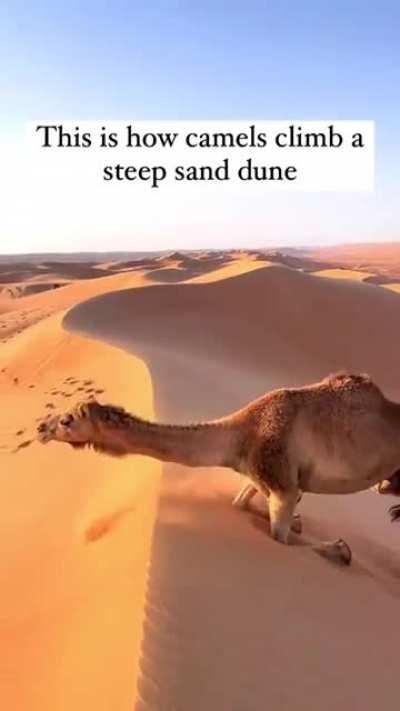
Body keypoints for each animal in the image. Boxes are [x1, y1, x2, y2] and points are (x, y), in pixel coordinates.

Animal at [37, 372, 400, 565]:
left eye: (67, 420)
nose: (41, 428)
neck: (240, 434)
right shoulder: (258, 477)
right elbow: (240, 504)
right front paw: (306, 526)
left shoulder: (282, 484)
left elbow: (281, 539)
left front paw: (339, 548)